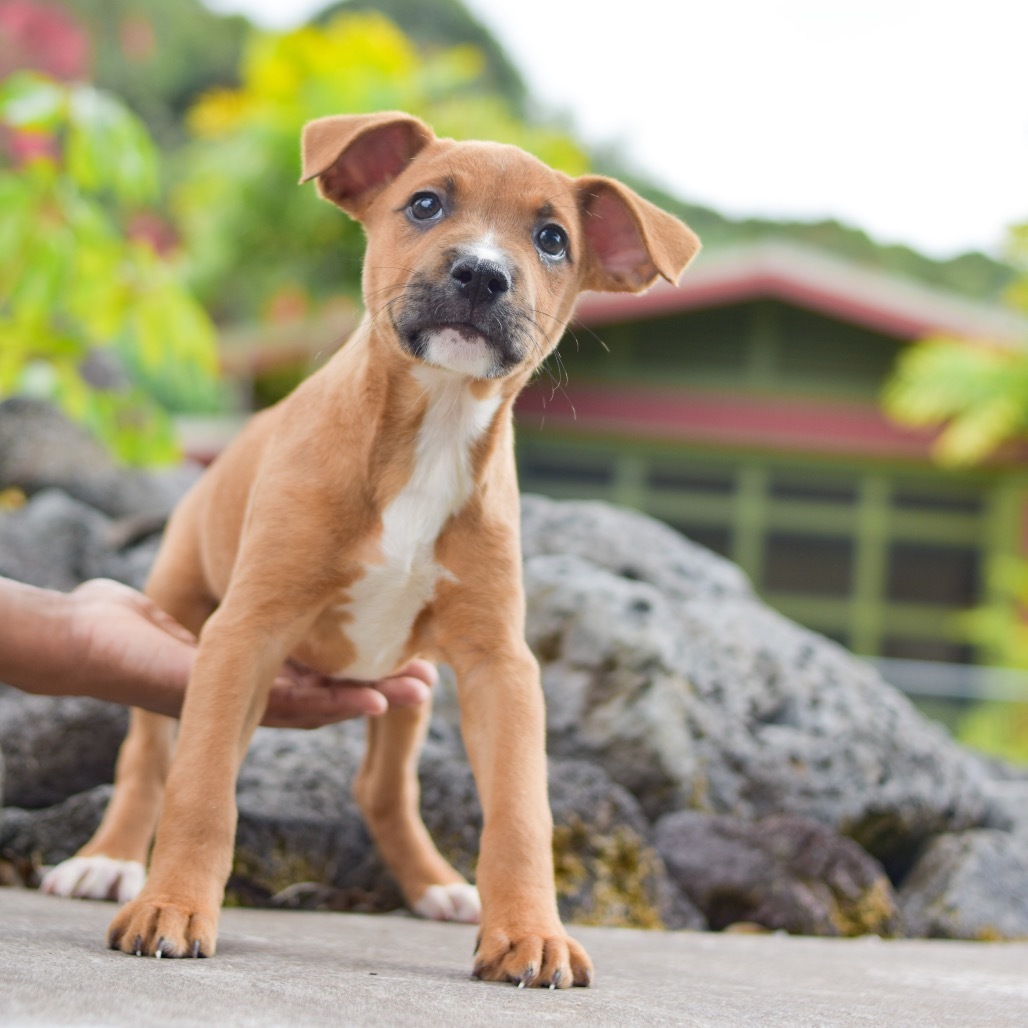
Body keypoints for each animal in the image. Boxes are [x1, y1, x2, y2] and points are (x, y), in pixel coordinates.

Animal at [42, 112, 699, 986]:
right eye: (424, 204)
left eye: (553, 239)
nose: (482, 273)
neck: (431, 430)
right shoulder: (242, 636)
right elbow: (202, 788)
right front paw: (173, 907)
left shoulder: (499, 665)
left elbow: (521, 814)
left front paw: (529, 933)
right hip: (181, 610)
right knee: (148, 757)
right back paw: (108, 861)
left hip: (409, 689)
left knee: (379, 789)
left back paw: (433, 885)